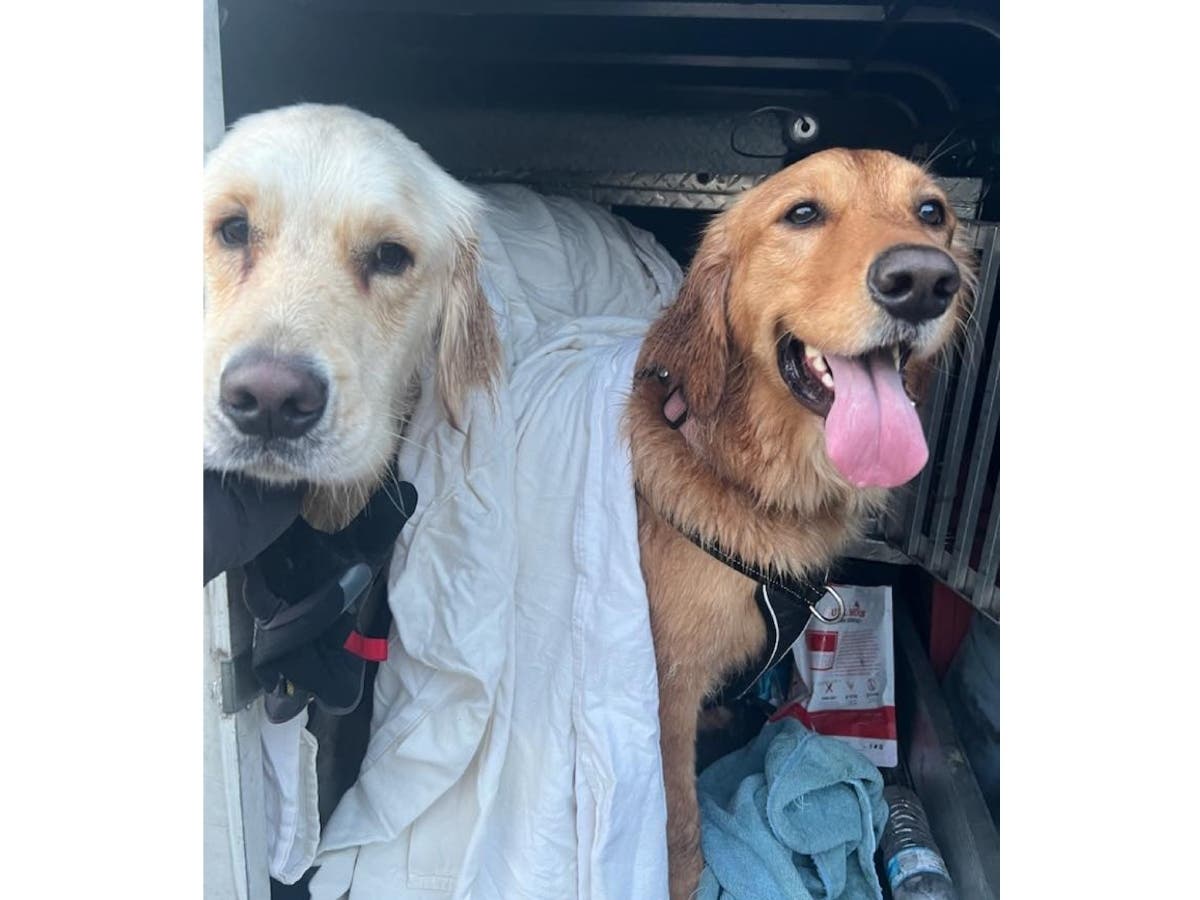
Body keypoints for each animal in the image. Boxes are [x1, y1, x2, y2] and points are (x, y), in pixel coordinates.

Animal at [628, 148, 974, 897]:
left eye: (931, 211)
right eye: (803, 213)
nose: (923, 281)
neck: (757, 484)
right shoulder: (665, 685)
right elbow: (676, 812)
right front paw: (685, 876)